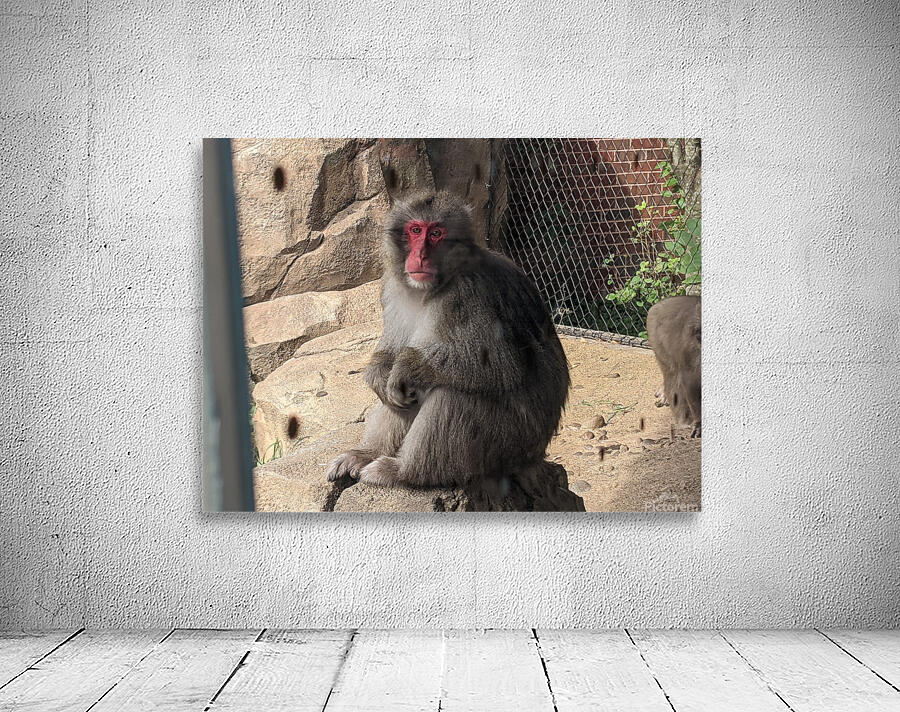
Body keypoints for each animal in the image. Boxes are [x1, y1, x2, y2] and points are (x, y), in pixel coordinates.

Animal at [325, 163, 570, 489]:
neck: (434, 287)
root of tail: (535, 455)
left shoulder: (469, 294)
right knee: (412, 394)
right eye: (416, 230)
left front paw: (407, 366)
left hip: (510, 442)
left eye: (437, 233)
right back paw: (367, 454)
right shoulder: (392, 285)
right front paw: (378, 373)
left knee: (453, 393)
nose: (420, 256)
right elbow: (391, 354)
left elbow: (500, 366)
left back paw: (403, 471)